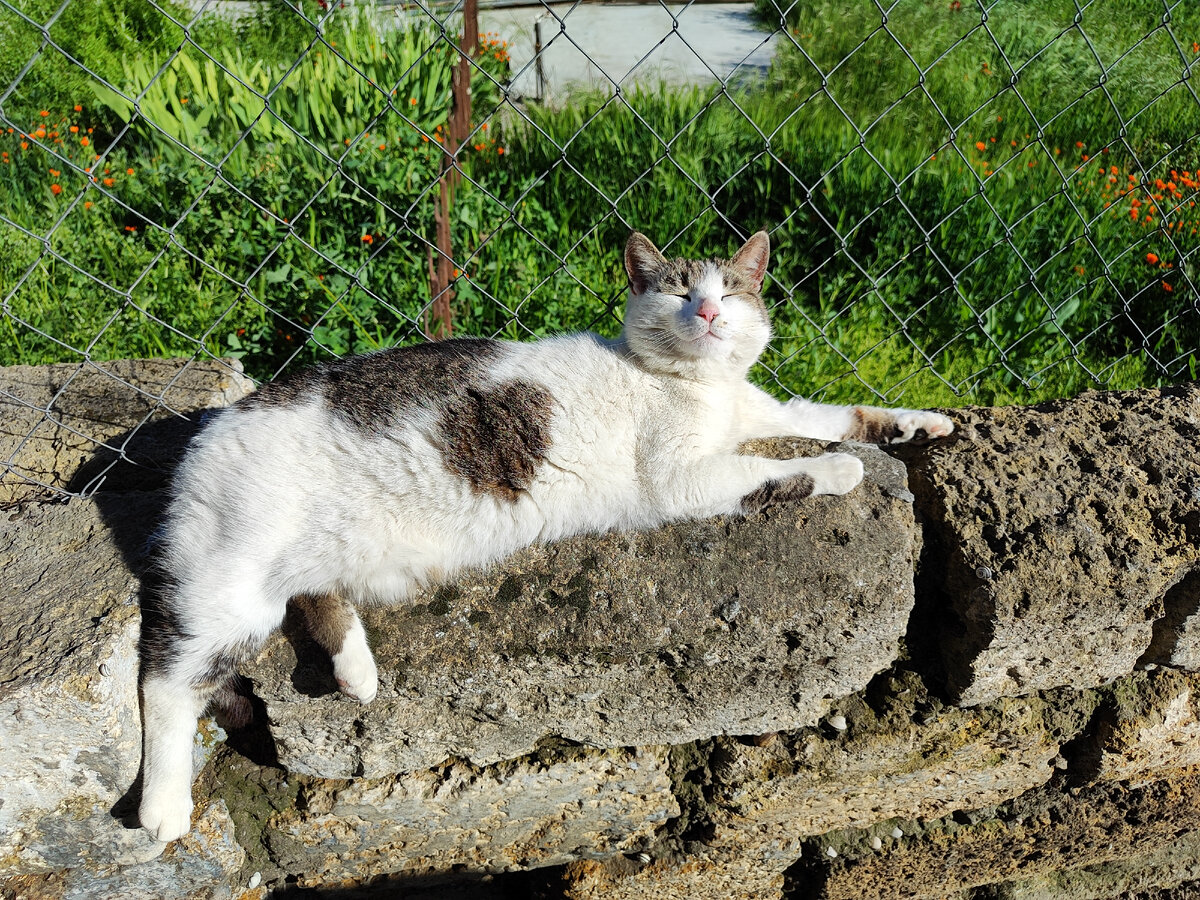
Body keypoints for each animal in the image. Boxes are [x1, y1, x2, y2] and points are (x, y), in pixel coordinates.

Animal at [136, 229, 950, 844]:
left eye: (731, 289)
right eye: (677, 290)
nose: (710, 312)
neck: (701, 389)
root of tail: (212, 425)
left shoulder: (767, 413)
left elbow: (840, 413)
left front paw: (922, 424)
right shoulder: (681, 478)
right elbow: (785, 468)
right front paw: (841, 470)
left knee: (312, 596)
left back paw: (356, 671)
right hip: (229, 593)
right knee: (164, 681)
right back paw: (162, 807)